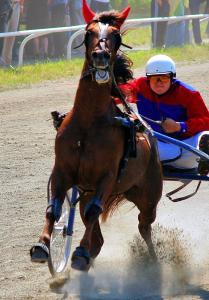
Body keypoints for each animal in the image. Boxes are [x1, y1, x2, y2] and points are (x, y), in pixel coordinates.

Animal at [29, 0, 163, 272]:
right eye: (88, 32)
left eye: (116, 35)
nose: (100, 56)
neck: (88, 124)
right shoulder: (62, 171)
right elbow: (53, 208)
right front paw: (42, 245)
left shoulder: (107, 177)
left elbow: (94, 212)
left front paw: (79, 252)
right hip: (87, 193)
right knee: (99, 239)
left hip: (149, 195)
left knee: (144, 226)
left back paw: (151, 261)